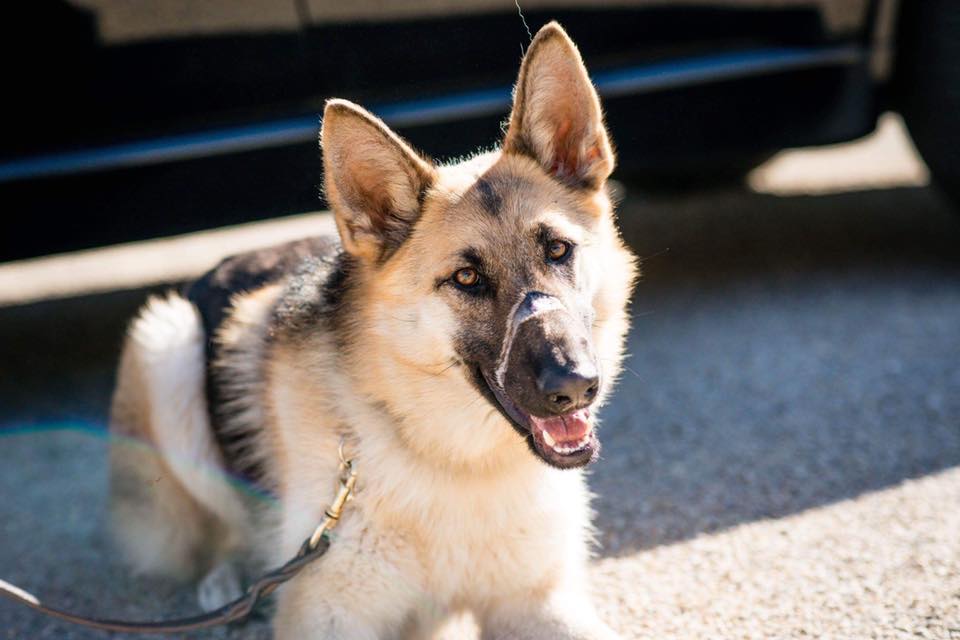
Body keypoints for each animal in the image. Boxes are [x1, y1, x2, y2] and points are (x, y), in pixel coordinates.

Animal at [108, 22, 636, 639]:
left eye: (557, 250)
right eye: (466, 278)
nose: (573, 387)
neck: (454, 462)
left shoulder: (541, 601)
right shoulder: (326, 615)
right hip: (167, 343)